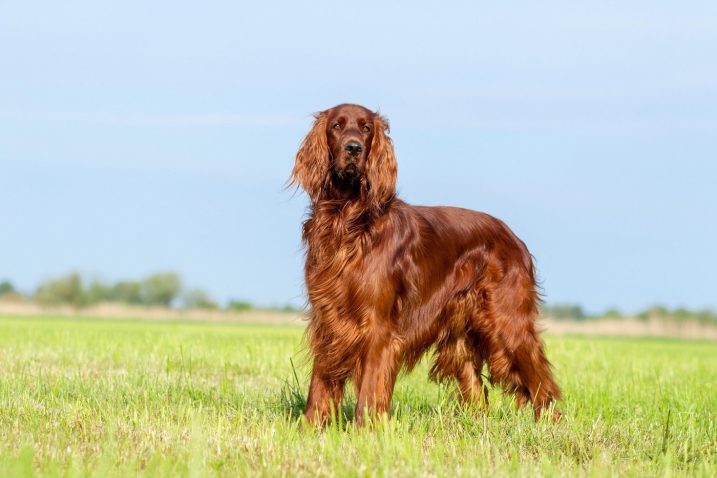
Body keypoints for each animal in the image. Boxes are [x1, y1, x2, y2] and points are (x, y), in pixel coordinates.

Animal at [290, 102, 560, 424]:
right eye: (337, 126)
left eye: (366, 128)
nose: (354, 148)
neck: (348, 219)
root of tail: (515, 238)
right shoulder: (329, 319)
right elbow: (320, 383)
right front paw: (311, 427)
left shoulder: (378, 325)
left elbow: (369, 389)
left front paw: (366, 428)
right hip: (462, 332)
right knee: (476, 388)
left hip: (508, 323)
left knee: (542, 383)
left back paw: (549, 424)